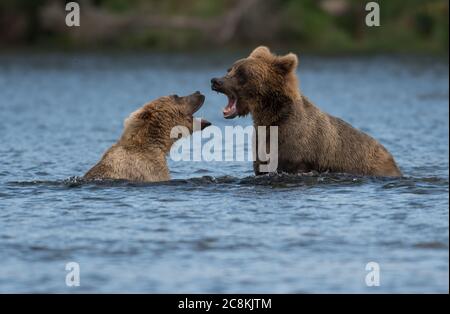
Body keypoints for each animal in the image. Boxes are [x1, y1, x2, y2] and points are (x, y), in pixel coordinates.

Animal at [211, 46, 400, 177]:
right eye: (230, 69)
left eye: (241, 74)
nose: (215, 81)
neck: (270, 117)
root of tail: (392, 160)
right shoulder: (262, 149)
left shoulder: (299, 152)